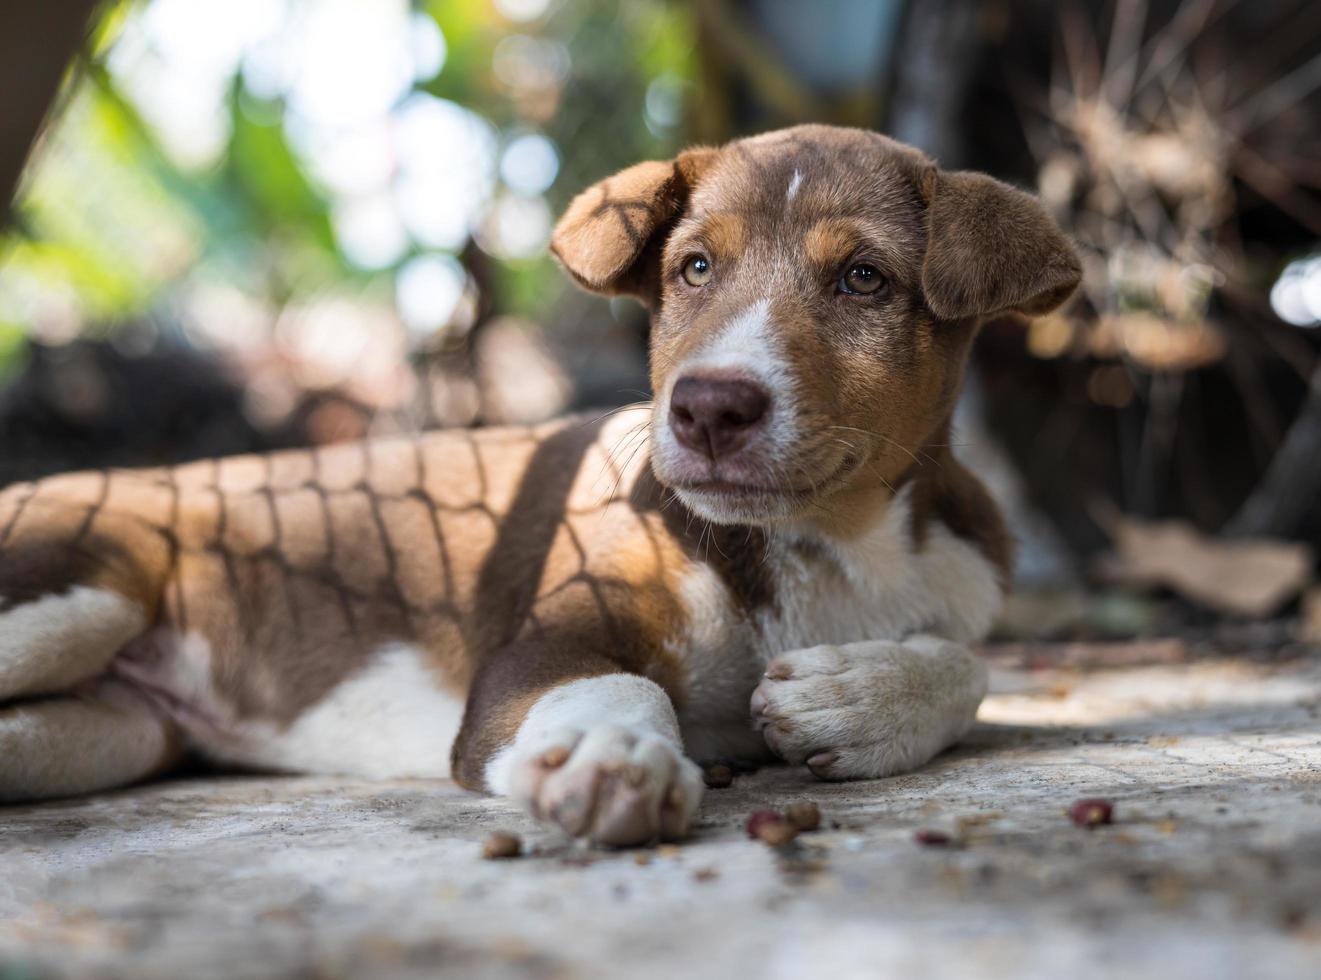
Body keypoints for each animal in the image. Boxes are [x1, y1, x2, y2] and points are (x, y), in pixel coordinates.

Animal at [0, 126, 1072, 850]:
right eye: (693, 268)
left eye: (862, 279)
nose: (707, 409)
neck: (831, 541)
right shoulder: (540, 648)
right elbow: (620, 681)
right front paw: (610, 756)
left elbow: (974, 668)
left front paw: (861, 698)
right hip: (77, 592)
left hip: (114, 730)